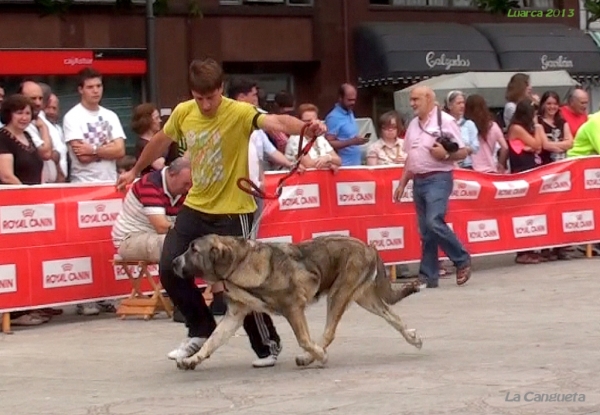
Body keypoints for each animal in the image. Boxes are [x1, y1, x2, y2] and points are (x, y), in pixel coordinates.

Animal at [172, 232, 422, 372]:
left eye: (193, 250)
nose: (173, 262)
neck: (239, 264)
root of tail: (369, 246)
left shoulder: (293, 307)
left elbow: (304, 339)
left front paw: (318, 355)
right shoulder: (234, 315)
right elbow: (212, 340)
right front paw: (192, 359)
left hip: (339, 293)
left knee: (329, 333)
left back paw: (311, 357)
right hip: (363, 296)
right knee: (392, 315)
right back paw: (413, 337)